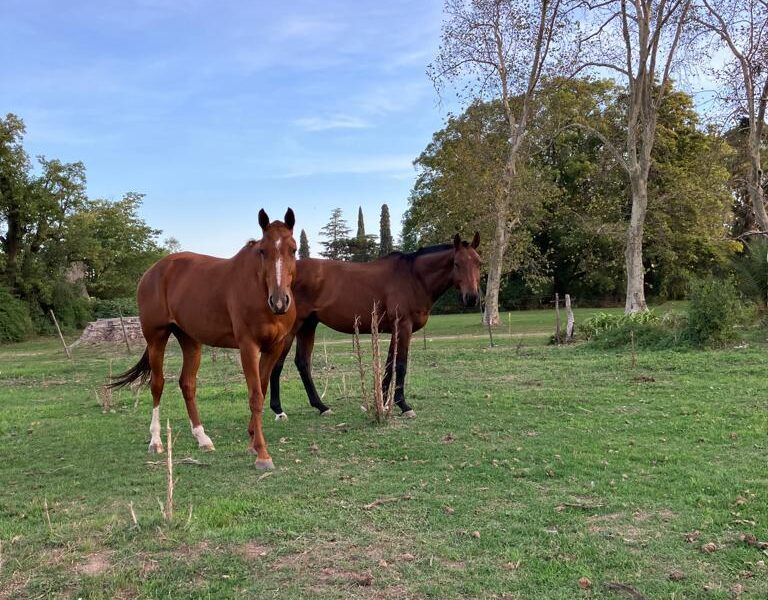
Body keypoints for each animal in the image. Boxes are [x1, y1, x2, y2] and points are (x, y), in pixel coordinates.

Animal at [111, 209, 296, 472]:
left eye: (293, 249)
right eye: (263, 251)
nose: (279, 302)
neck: (259, 290)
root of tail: (153, 271)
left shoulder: (274, 347)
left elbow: (261, 388)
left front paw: (252, 440)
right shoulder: (248, 347)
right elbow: (255, 396)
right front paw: (262, 453)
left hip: (190, 340)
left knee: (187, 384)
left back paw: (203, 439)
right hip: (156, 337)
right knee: (157, 384)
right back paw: (156, 441)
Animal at [270, 232, 480, 420]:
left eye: (479, 263)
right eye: (456, 263)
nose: (471, 298)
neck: (413, 278)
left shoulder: (396, 330)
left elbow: (388, 365)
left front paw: (383, 402)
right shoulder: (404, 327)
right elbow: (400, 365)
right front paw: (403, 405)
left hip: (308, 326)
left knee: (303, 362)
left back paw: (321, 407)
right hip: (293, 327)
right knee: (278, 363)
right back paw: (279, 410)